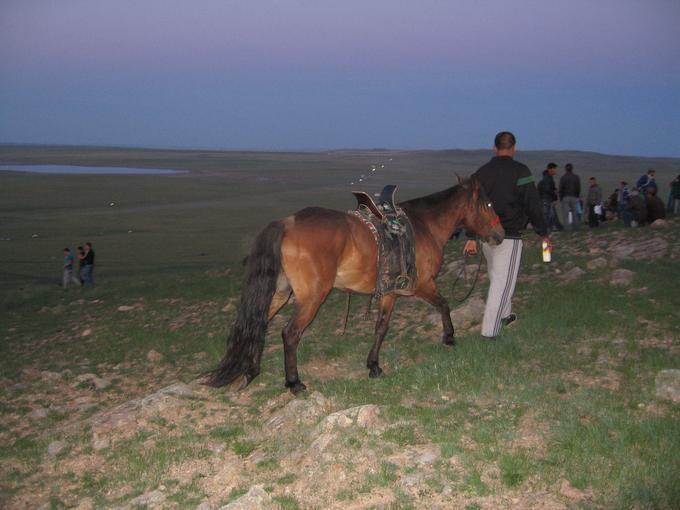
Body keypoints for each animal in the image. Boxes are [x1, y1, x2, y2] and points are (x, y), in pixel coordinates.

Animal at [207, 175, 504, 394]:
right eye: (489, 205)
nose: (500, 235)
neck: (425, 226)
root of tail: (287, 223)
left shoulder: (389, 292)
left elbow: (381, 326)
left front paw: (373, 365)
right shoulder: (419, 285)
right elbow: (442, 305)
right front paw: (449, 337)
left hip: (279, 294)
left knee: (257, 325)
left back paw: (248, 372)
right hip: (311, 297)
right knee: (290, 334)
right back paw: (294, 383)